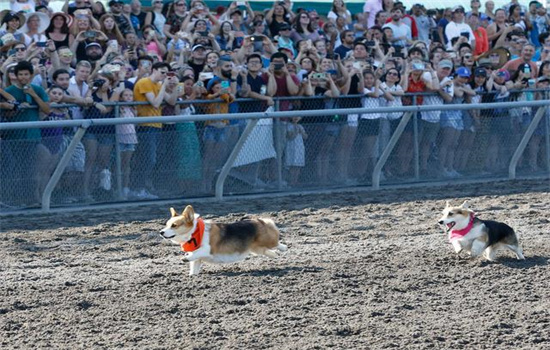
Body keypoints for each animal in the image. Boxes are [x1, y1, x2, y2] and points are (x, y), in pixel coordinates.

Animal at [160, 205, 288, 276]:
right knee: (268, 251)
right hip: (256, 249)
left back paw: (284, 248)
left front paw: (185, 258)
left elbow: (196, 253)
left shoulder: (207, 249)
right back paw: (274, 255)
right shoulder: (197, 260)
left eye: (174, 225)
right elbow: (194, 266)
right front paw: (192, 275)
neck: (194, 232)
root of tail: (259, 221)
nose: (161, 232)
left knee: (277, 243)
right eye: (166, 224)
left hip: (269, 241)